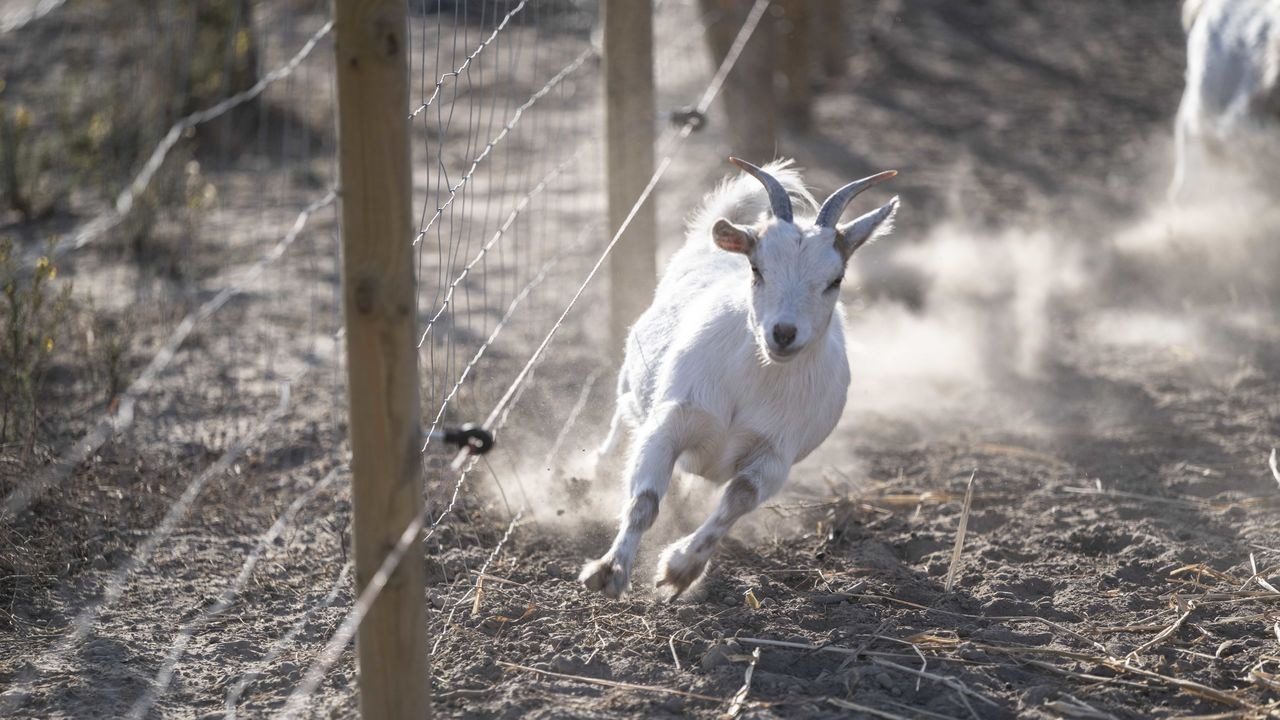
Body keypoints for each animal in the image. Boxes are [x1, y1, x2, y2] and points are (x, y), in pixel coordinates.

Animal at [579, 158, 899, 600]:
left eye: (835, 280)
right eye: (756, 268)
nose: (783, 333)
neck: (755, 378)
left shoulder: (774, 456)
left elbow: (737, 501)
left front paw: (680, 569)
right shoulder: (672, 420)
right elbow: (644, 501)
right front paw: (609, 570)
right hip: (632, 380)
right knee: (622, 417)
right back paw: (596, 471)